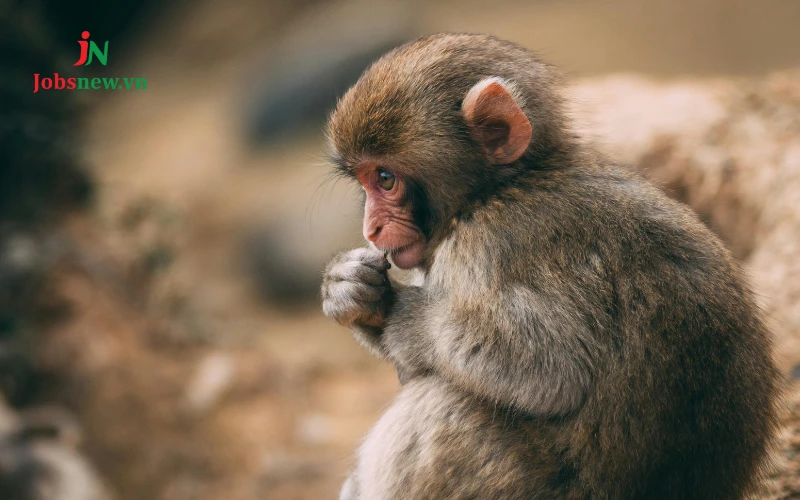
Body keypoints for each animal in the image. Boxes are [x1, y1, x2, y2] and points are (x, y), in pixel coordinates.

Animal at [320, 34, 780, 500]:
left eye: (386, 178)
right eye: (365, 182)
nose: (372, 228)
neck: (500, 188)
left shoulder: (492, 243)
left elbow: (551, 369)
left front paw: (403, 314)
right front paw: (350, 289)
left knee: (439, 408)